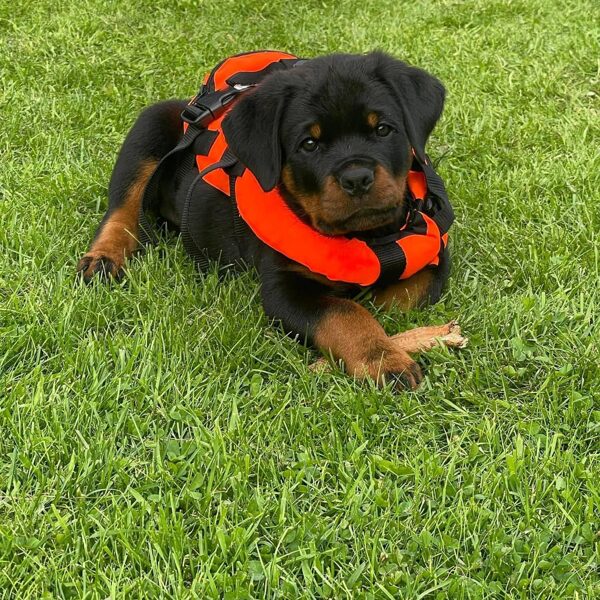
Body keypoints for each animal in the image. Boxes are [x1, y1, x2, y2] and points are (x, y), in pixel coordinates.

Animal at [77, 51, 466, 388]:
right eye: (309, 144)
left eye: (383, 129)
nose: (356, 178)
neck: (368, 237)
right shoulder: (284, 287)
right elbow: (345, 313)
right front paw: (385, 360)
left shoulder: (435, 257)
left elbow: (402, 297)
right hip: (152, 124)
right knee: (123, 207)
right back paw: (103, 259)